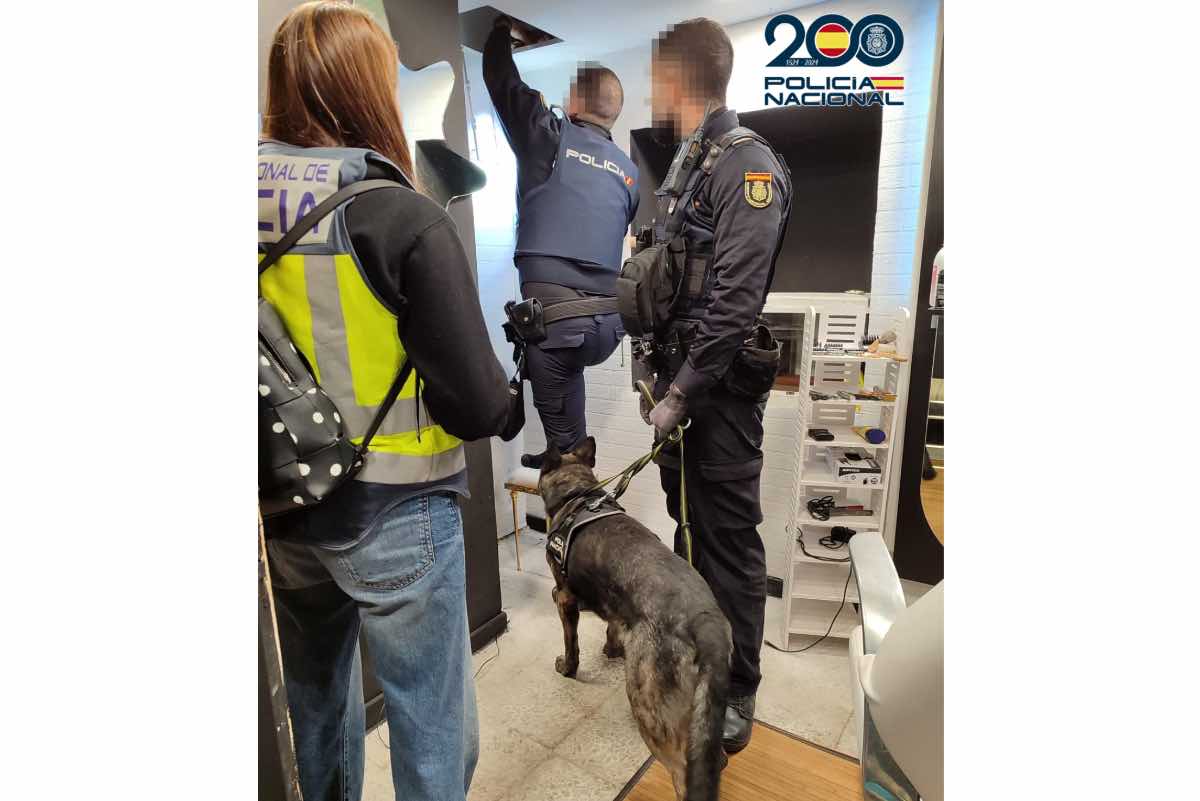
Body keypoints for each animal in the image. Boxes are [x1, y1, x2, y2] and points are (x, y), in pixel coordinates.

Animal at [542, 438, 729, 801]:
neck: (578, 493)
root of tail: (704, 619)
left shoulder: (565, 598)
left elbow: (571, 645)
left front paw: (567, 668)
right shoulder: (616, 603)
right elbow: (613, 625)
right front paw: (613, 649)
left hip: (648, 709)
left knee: (681, 772)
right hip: (704, 716)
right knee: (717, 760)